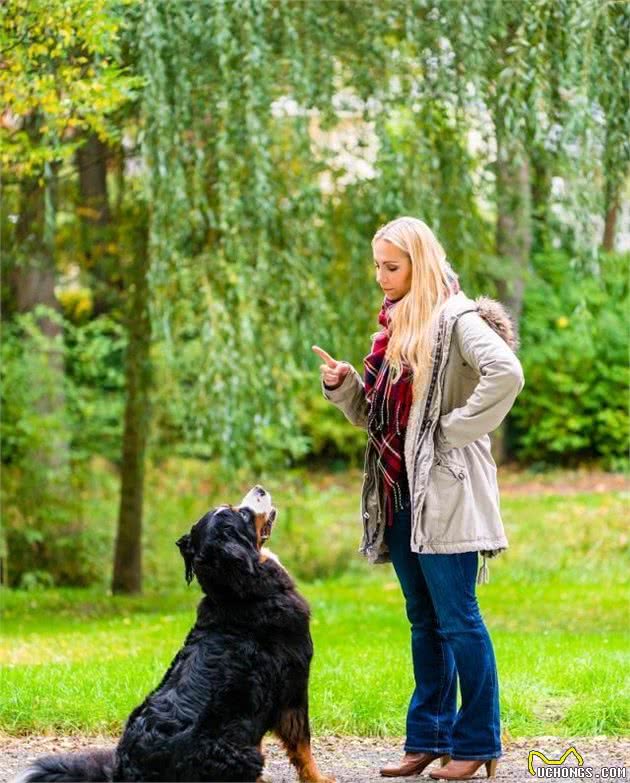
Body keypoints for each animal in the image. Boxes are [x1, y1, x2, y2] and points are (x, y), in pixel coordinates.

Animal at [17, 486, 336, 780]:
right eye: (243, 514)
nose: (259, 488)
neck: (238, 594)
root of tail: (123, 771)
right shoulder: (293, 687)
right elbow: (303, 745)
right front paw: (319, 778)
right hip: (243, 752)